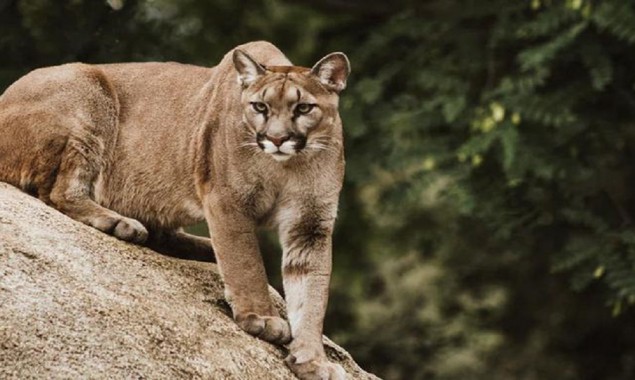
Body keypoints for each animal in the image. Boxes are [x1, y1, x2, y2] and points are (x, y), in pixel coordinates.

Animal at [0, 41, 350, 380]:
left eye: (303, 108)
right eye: (259, 107)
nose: (277, 139)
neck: (286, 166)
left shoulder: (310, 225)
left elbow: (312, 295)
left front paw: (312, 361)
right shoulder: (228, 202)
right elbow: (246, 264)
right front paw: (262, 318)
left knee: (161, 233)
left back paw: (200, 247)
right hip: (88, 93)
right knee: (60, 192)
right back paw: (121, 224)